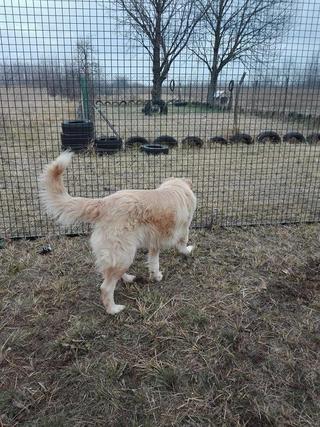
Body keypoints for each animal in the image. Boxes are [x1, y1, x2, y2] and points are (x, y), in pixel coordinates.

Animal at [38, 153, 196, 314]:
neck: (175, 187)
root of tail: (103, 203)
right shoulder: (184, 228)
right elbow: (183, 244)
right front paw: (188, 251)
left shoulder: (154, 242)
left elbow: (154, 262)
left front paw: (156, 276)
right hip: (124, 253)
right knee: (106, 287)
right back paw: (113, 309)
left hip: (121, 254)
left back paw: (128, 278)